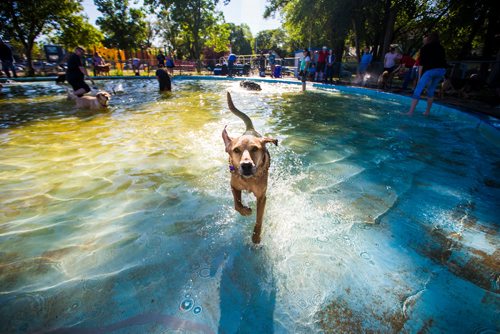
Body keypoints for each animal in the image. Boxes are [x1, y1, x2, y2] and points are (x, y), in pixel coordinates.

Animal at [222, 91, 278, 243]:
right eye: (236, 150)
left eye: (255, 149)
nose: (246, 165)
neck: (248, 180)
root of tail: (250, 129)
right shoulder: (234, 185)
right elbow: (237, 204)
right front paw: (245, 211)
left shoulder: (262, 197)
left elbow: (259, 219)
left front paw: (256, 236)